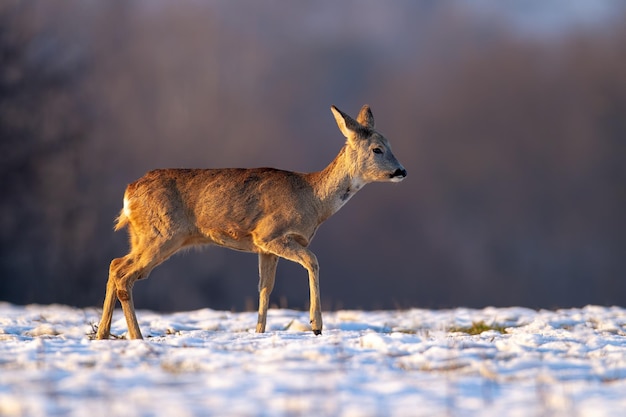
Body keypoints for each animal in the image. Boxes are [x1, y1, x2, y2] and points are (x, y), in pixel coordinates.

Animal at [94, 104, 402, 338]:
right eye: (377, 149)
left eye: (390, 145)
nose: (402, 171)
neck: (314, 199)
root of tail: (128, 193)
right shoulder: (269, 234)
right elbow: (312, 260)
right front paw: (316, 325)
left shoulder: (265, 249)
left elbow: (265, 289)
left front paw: (259, 332)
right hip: (162, 234)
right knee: (124, 274)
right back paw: (136, 337)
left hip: (144, 236)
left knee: (114, 265)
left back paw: (102, 335)